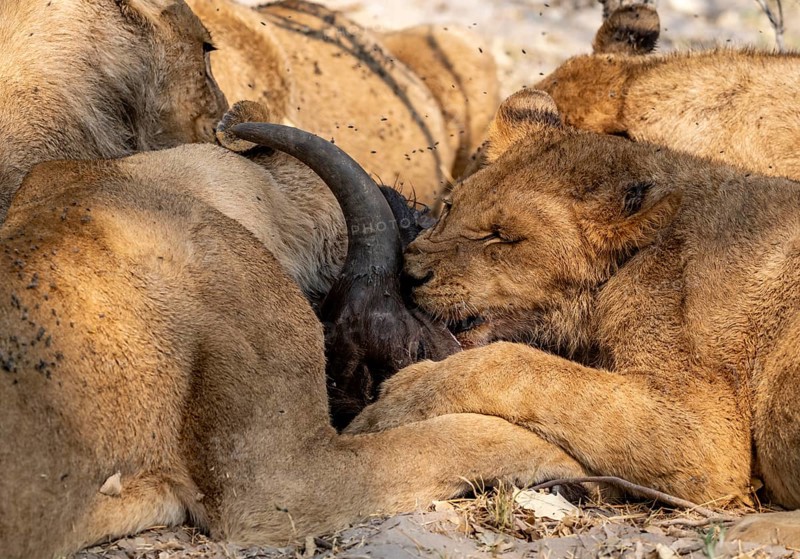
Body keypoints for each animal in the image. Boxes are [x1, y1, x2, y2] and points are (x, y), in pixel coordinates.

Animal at [347, 89, 800, 548]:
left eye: (502, 237)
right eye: (450, 206)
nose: (409, 274)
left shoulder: (704, 433)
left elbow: (514, 363)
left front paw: (394, 402)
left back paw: (755, 527)